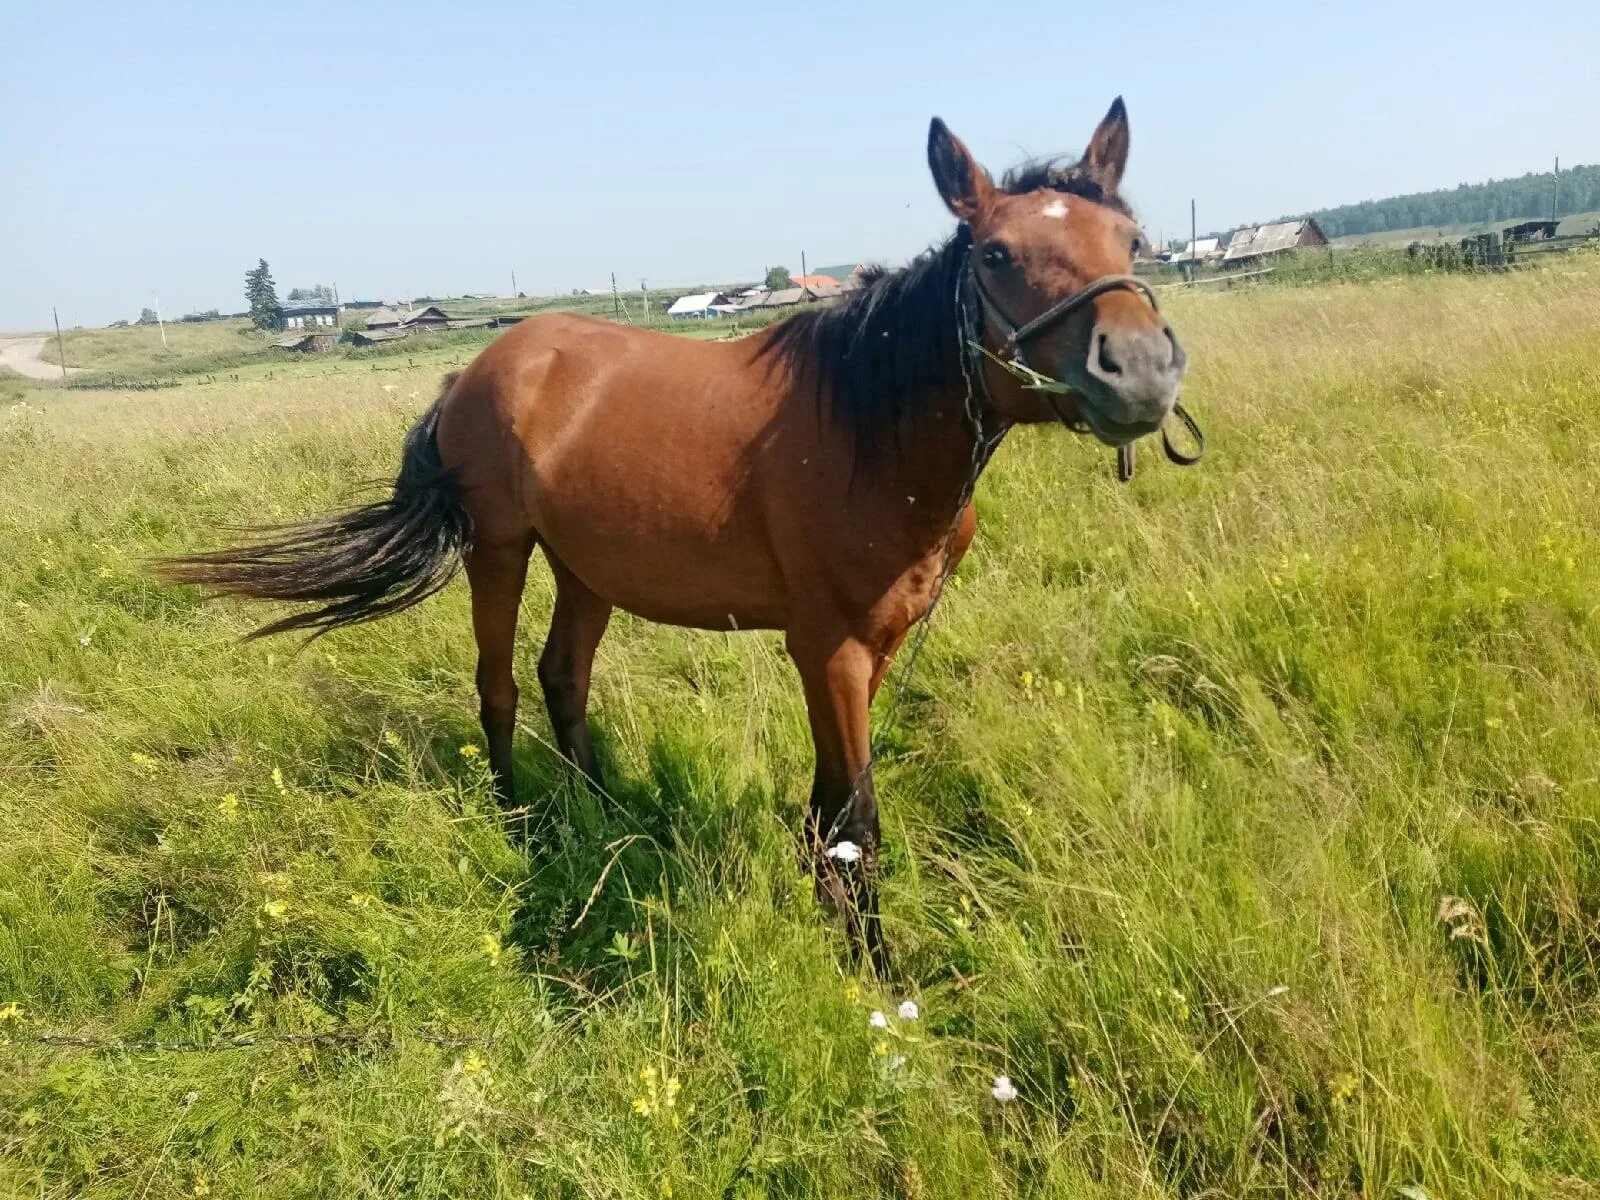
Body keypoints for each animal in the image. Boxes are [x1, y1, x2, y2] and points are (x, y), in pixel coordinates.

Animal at [165, 98, 1190, 979]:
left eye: (1133, 242)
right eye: (998, 254)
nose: (1141, 373)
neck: (871, 432)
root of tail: (477, 367)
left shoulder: (878, 645)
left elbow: (830, 802)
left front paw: (828, 919)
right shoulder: (830, 648)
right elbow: (857, 815)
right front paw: (874, 966)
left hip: (586, 569)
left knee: (562, 679)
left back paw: (606, 816)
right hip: (501, 551)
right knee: (498, 688)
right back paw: (518, 819)